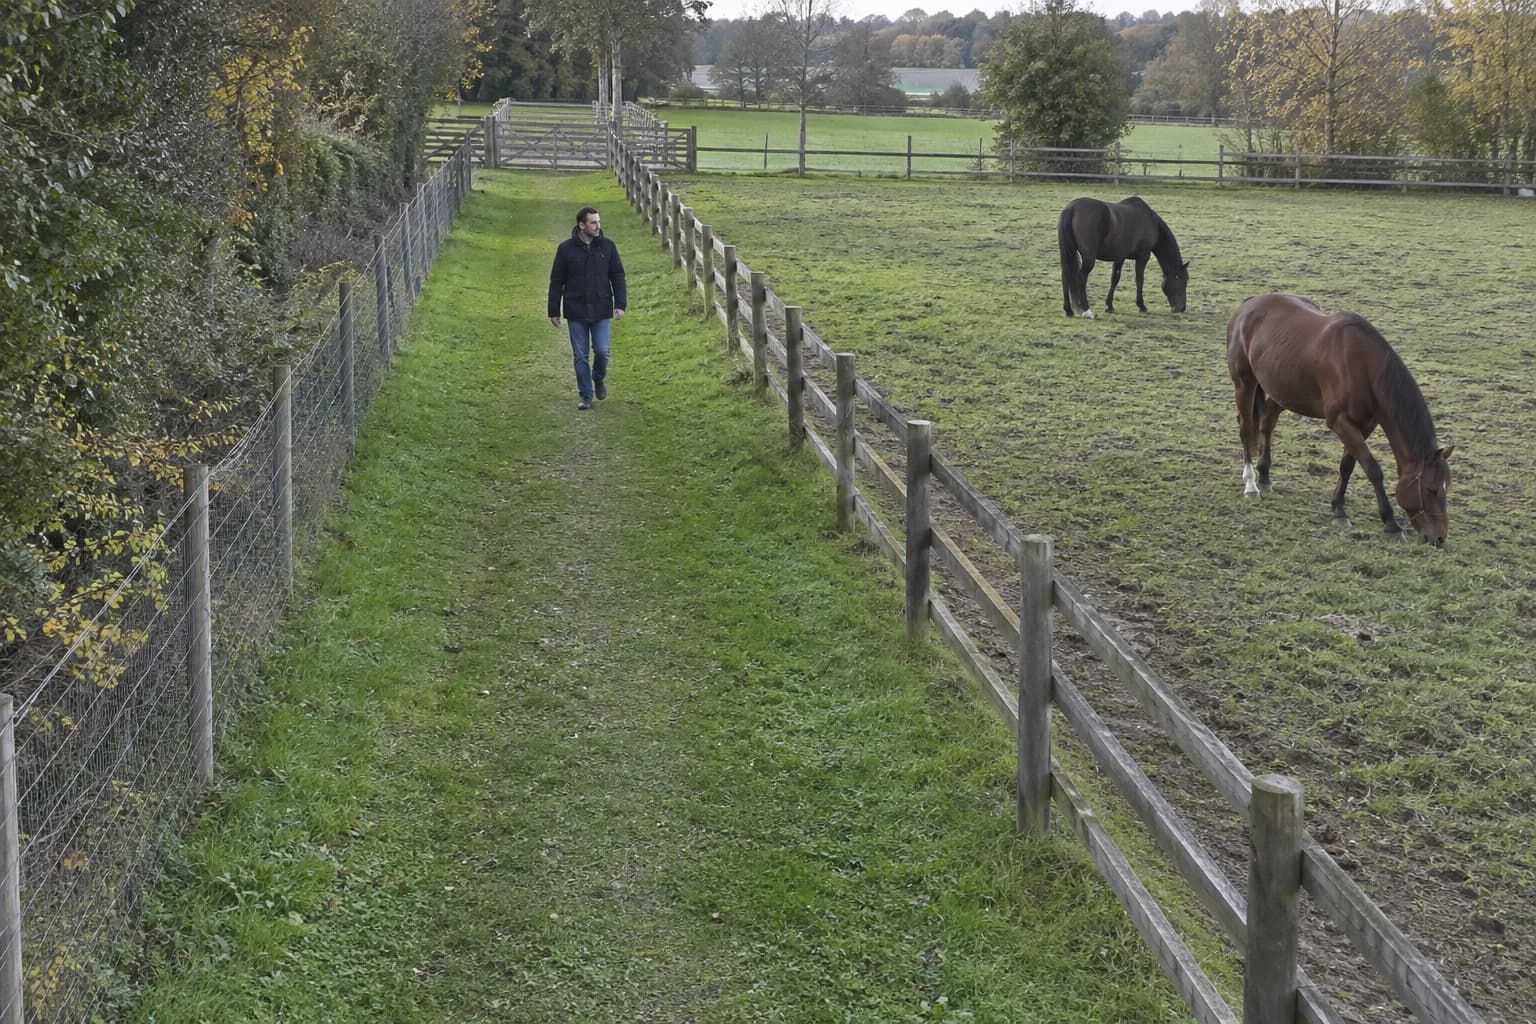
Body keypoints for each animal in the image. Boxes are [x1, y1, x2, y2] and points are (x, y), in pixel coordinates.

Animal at [1057, 196, 1189, 319]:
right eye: (1184, 281)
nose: (1182, 308)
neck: (1150, 221)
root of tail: (1072, 208)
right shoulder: (1143, 256)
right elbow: (1139, 280)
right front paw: (1141, 305)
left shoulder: (1119, 257)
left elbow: (1115, 279)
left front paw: (1109, 306)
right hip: (1089, 259)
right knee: (1081, 279)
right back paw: (1086, 310)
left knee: (1065, 277)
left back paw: (1068, 310)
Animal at [1226, 292, 1452, 545]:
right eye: (1432, 490)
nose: (1439, 538)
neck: (1363, 366)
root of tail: (1249, 303)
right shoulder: (1341, 422)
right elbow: (1373, 469)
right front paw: (1391, 523)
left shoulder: (1364, 426)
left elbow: (1347, 466)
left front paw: (1338, 509)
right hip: (1244, 383)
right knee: (1246, 429)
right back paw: (1251, 484)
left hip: (1282, 389)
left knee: (1267, 422)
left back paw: (1264, 476)